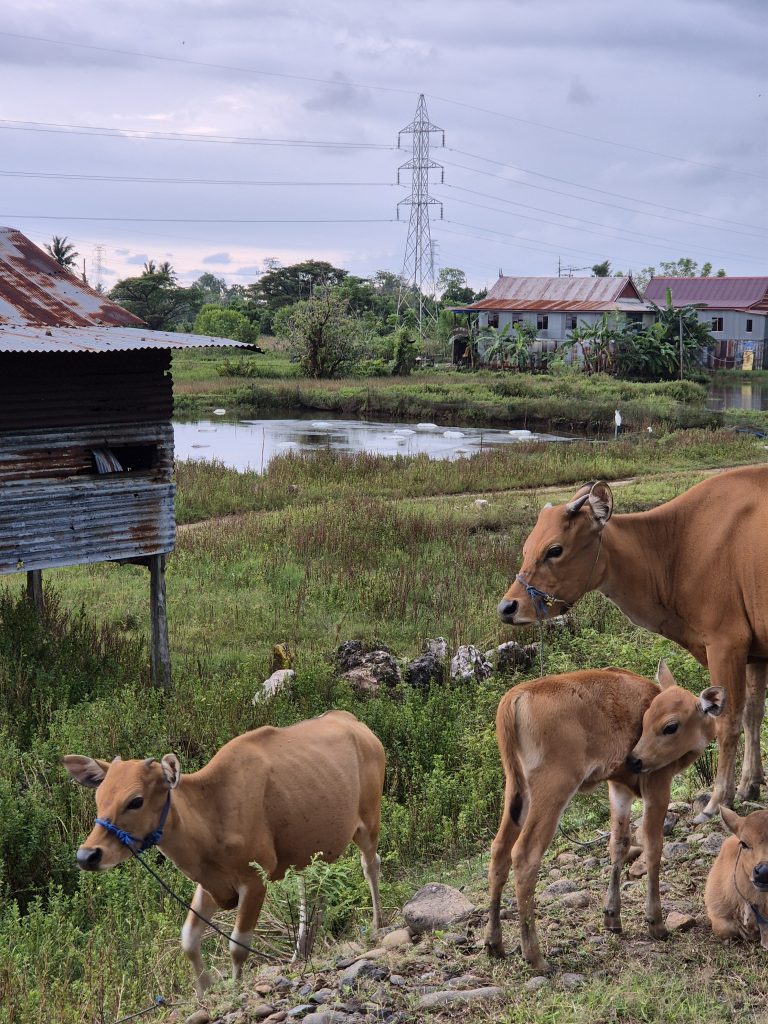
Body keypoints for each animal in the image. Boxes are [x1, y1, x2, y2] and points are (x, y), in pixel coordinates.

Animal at [63, 710, 385, 998]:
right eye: (99, 797)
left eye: (136, 801)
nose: (87, 855)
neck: (213, 813)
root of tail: (355, 723)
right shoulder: (210, 884)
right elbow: (188, 940)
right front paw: (204, 989)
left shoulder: (254, 881)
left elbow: (238, 944)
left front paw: (236, 987)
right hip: (309, 853)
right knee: (312, 894)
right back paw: (301, 954)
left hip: (369, 822)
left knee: (370, 866)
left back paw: (377, 925)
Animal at [484, 661, 724, 972]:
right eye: (651, 720)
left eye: (668, 725)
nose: (634, 760)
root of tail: (516, 697)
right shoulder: (657, 785)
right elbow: (652, 846)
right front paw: (656, 923)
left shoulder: (619, 788)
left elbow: (619, 844)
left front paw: (612, 917)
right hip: (552, 790)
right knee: (524, 855)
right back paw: (535, 956)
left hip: (516, 792)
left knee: (499, 851)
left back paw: (494, 943)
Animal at [497, 466, 768, 821]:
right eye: (527, 548)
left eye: (555, 550)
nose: (507, 607)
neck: (675, 548)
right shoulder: (755, 652)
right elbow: (753, 714)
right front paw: (750, 784)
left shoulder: (726, 643)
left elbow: (727, 722)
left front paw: (718, 799)